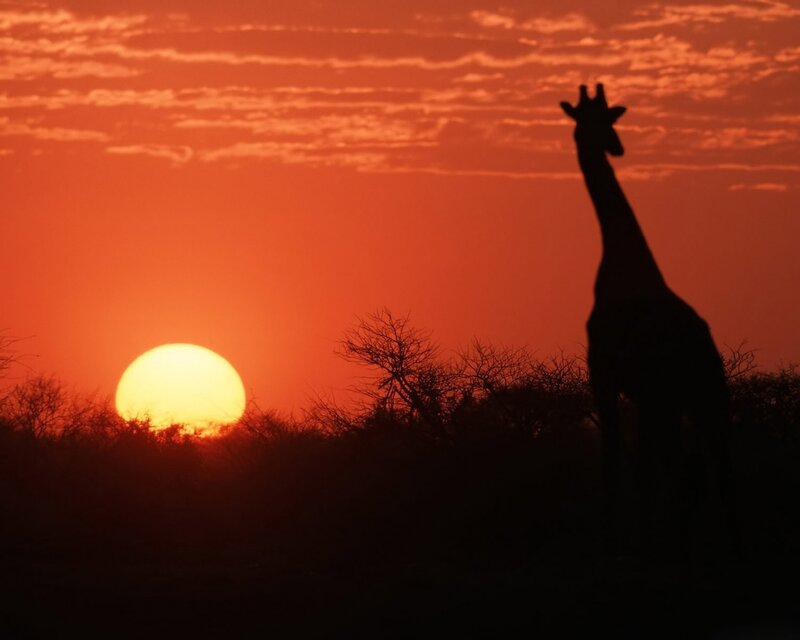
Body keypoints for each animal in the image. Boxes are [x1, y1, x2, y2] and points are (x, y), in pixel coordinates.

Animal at [560, 84, 736, 557]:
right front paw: (632, 539)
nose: (616, 147)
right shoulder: (633, 388)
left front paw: (615, 541)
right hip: (685, 397)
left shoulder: (609, 377)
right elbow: (632, 466)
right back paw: (696, 539)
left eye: (611, 119)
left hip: (695, 395)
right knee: (692, 464)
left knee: (701, 463)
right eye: (587, 120)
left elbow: (620, 464)